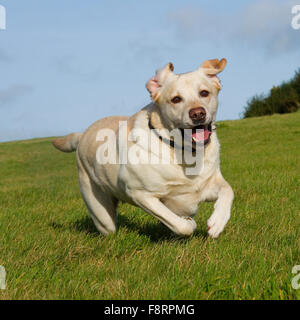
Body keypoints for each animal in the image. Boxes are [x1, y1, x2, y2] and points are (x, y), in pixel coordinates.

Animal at [52, 58, 234, 238]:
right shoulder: (140, 193)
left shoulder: (209, 184)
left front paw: (217, 222)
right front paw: (189, 222)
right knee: (108, 226)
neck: (183, 152)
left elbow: (228, 190)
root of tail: (82, 135)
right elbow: (182, 225)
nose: (198, 113)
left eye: (204, 93)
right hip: (101, 213)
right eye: (176, 99)